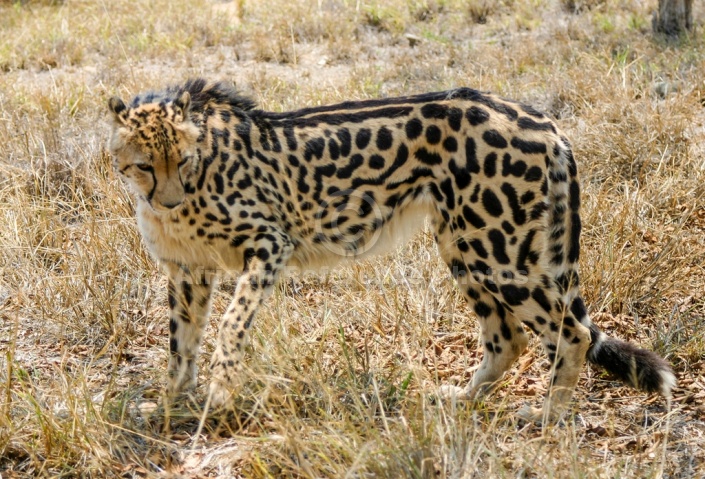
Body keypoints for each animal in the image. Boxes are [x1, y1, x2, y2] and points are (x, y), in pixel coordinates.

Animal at [107, 79, 672, 424]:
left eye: (182, 159)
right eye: (144, 165)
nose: (168, 199)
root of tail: (542, 120)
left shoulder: (268, 243)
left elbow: (229, 325)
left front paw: (219, 399)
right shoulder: (188, 270)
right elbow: (180, 345)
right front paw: (171, 406)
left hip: (499, 253)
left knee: (572, 332)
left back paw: (549, 416)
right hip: (464, 244)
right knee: (508, 337)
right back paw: (466, 397)